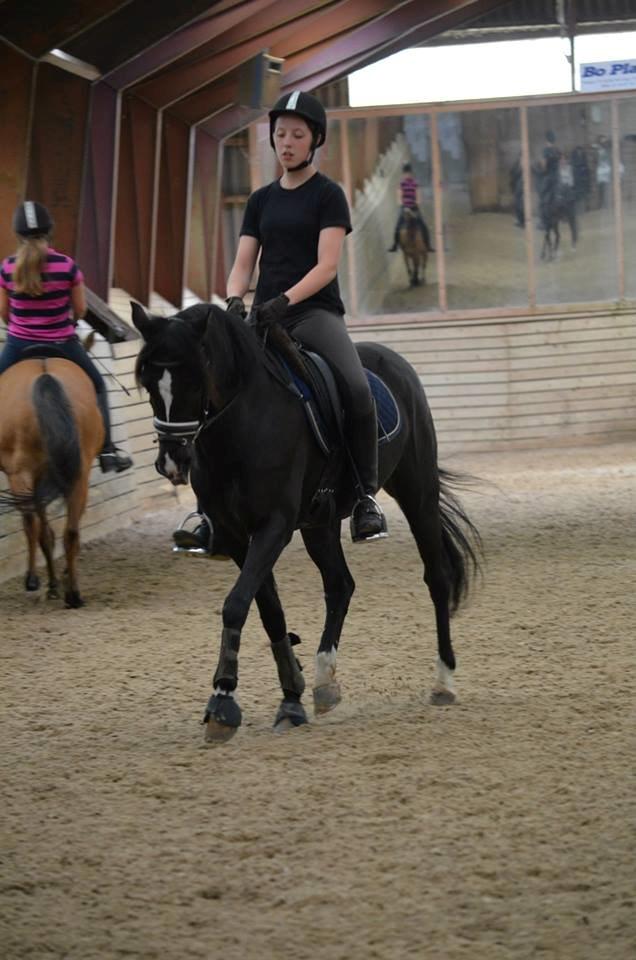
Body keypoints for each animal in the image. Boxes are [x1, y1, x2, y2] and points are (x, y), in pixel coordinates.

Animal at [0, 352, 104, 608]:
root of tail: (44, 375)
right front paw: (58, 581)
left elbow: (42, 531)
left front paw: (50, 584)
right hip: (76, 474)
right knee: (70, 531)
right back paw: (73, 593)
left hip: (23, 474)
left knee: (32, 523)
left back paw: (37, 581)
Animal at [134, 302, 482, 744]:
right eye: (149, 384)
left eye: (196, 378)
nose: (172, 463)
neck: (241, 424)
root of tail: (396, 362)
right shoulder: (235, 534)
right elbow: (267, 610)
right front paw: (291, 698)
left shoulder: (275, 526)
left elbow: (236, 605)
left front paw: (223, 702)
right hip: (320, 523)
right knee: (340, 585)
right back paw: (324, 682)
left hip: (417, 490)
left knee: (436, 577)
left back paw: (443, 682)